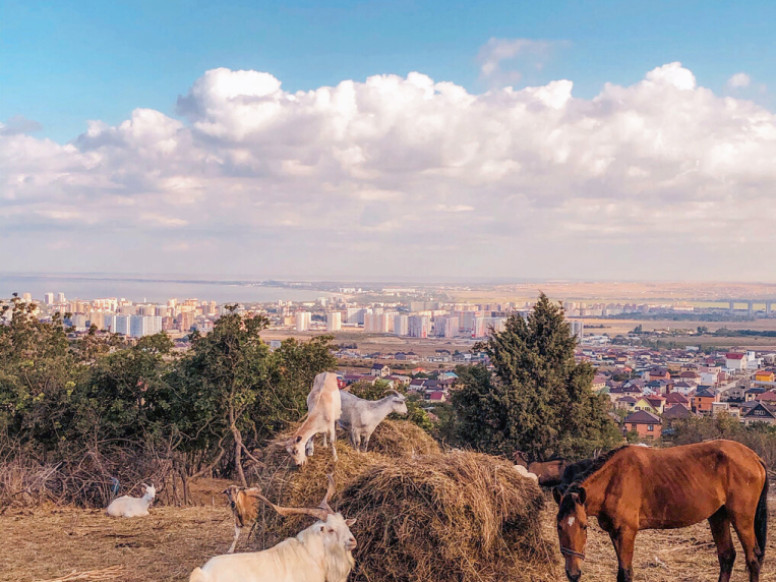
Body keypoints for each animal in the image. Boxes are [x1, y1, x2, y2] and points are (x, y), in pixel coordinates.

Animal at [556, 442, 768, 582]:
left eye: (583, 526)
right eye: (559, 527)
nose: (573, 573)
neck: (614, 478)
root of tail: (754, 457)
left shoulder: (626, 532)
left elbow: (626, 573)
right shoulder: (615, 532)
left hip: (741, 518)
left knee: (753, 559)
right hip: (718, 516)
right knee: (726, 557)